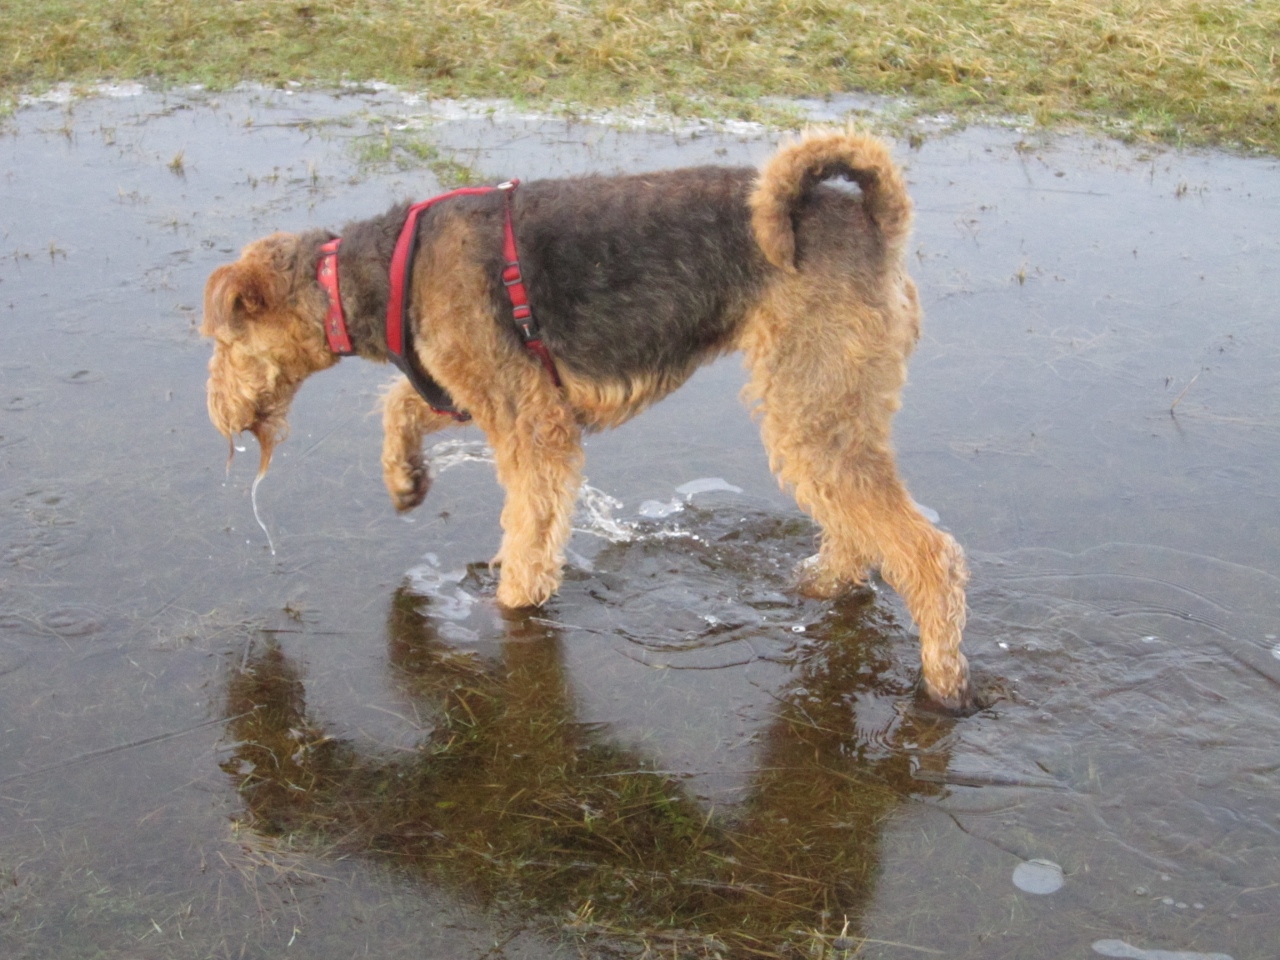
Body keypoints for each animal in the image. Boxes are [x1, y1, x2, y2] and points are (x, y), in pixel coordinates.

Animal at [200, 128, 972, 711]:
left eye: (221, 339)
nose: (217, 417)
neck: (379, 274)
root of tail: (875, 220)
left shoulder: (532, 422)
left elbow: (529, 530)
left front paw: (513, 601)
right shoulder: (479, 390)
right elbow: (401, 403)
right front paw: (405, 481)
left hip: (810, 410)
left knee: (928, 554)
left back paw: (944, 687)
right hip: (830, 414)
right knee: (858, 535)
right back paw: (819, 584)